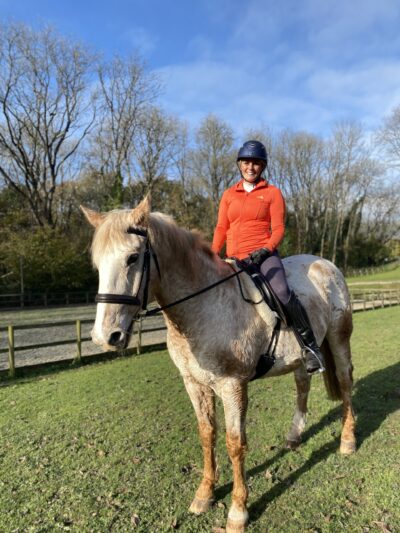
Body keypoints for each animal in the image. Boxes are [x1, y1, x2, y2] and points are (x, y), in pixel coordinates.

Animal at [81, 196, 356, 532]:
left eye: (133, 257)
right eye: (98, 264)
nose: (105, 336)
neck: (203, 308)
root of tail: (325, 264)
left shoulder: (232, 386)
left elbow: (235, 443)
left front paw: (238, 511)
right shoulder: (194, 384)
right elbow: (206, 435)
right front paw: (204, 495)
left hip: (339, 338)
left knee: (345, 382)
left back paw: (348, 441)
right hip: (301, 357)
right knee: (303, 384)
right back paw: (294, 437)